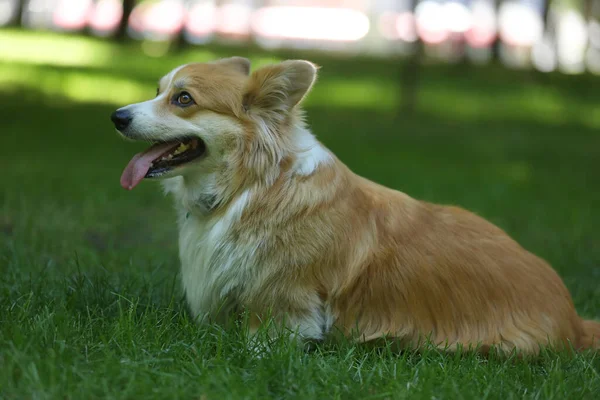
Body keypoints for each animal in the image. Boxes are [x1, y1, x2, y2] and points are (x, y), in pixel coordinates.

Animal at [112, 57, 600, 356]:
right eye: (158, 90)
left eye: (184, 99)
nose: (116, 116)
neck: (250, 184)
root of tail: (575, 320)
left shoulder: (287, 298)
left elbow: (266, 338)